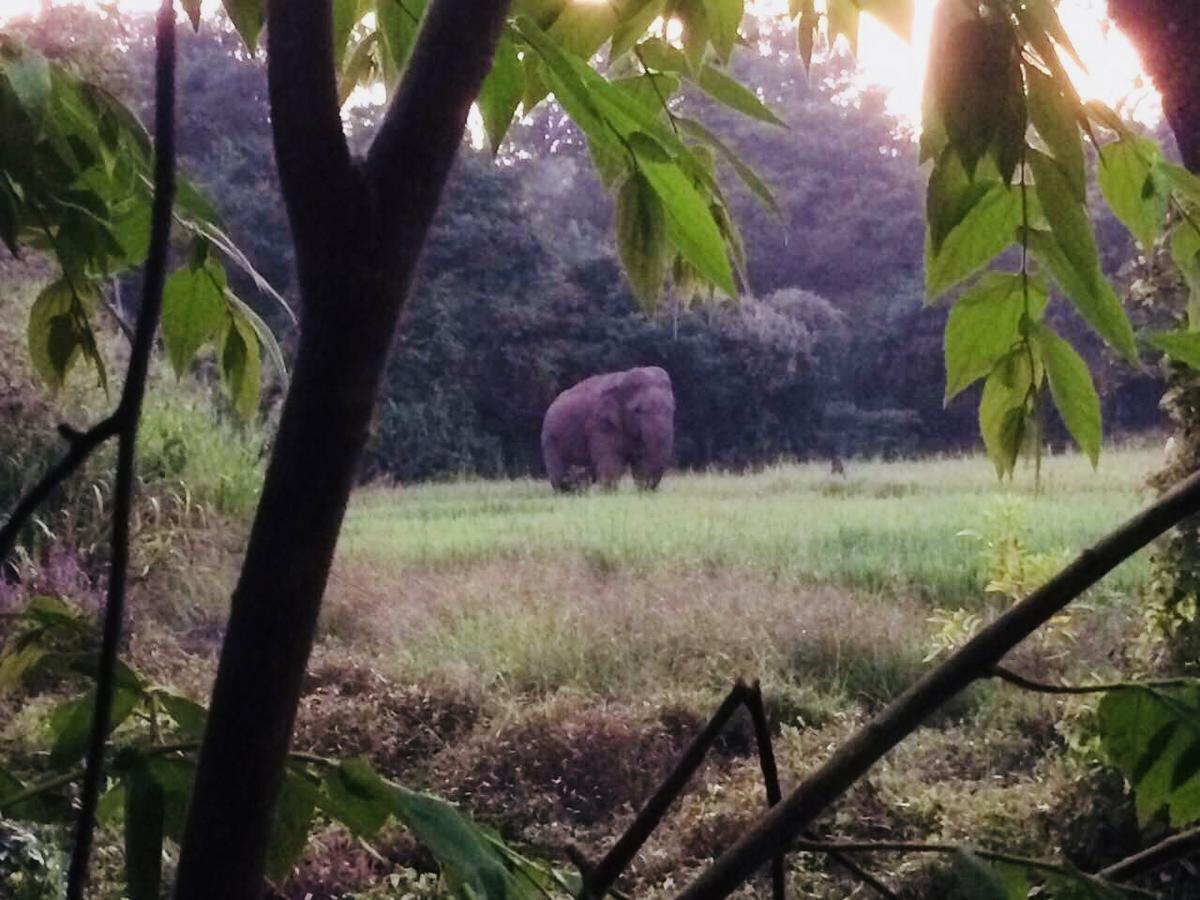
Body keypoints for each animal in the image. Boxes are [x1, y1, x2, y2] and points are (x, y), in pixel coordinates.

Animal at [542, 364, 676, 494]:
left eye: (672, 408)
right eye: (637, 410)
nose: (650, 490)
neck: (622, 379)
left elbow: (641, 462)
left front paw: (643, 491)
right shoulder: (599, 425)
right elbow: (610, 463)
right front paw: (610, 493)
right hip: (550, 441)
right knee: (561, 477)